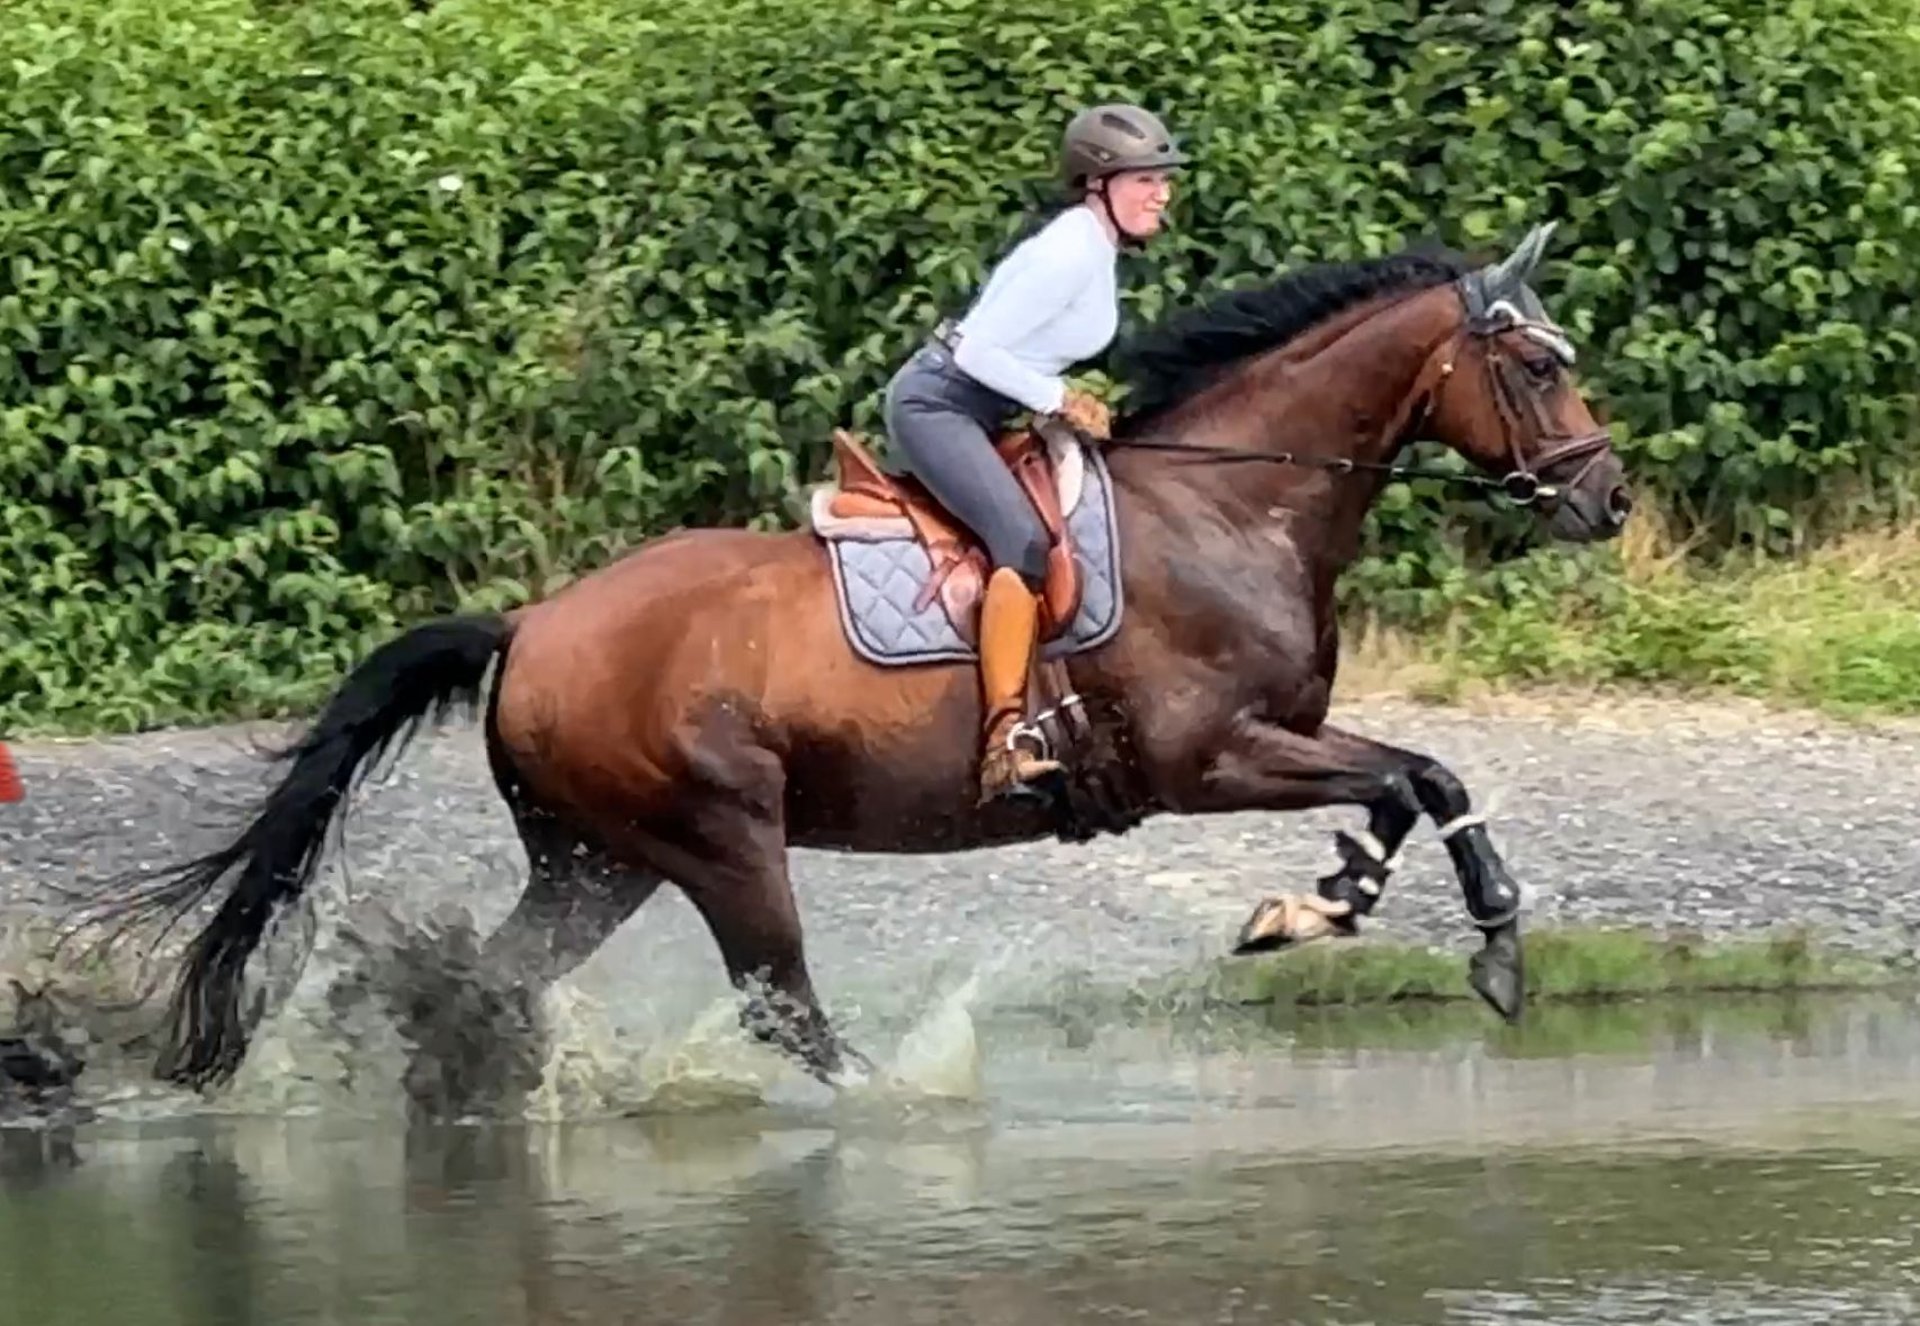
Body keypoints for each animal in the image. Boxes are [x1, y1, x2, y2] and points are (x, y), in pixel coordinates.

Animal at [82, 225, 1628, 1097]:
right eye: (1540, 367)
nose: (1607, 500)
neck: (1231, 506)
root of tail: (530, 626)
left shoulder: (1272, 748)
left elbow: (1406, 791)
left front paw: (1327, 909)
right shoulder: (1211, 758)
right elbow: (1422, 774)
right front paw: (1445, 940)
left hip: (596, 858)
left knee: (504, 976)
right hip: (718, 839)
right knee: (781, 1007)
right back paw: (895, 1099)